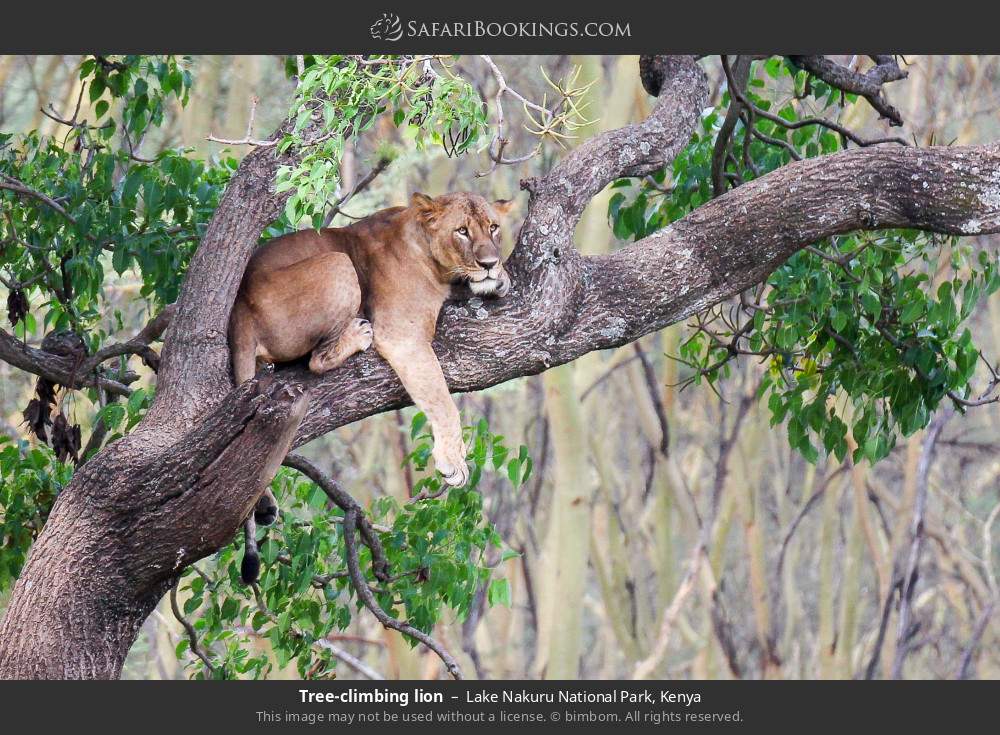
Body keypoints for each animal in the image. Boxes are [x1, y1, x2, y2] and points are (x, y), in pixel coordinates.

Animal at [230, 192, 514, 582]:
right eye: (462, 231)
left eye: (493, 227)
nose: (488, 263)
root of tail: (240, 304)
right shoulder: (401, 335)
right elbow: (441, 401)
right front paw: (452, 461)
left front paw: (498, 278)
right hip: (338, 263)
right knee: (316, 360)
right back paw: (357, 335)